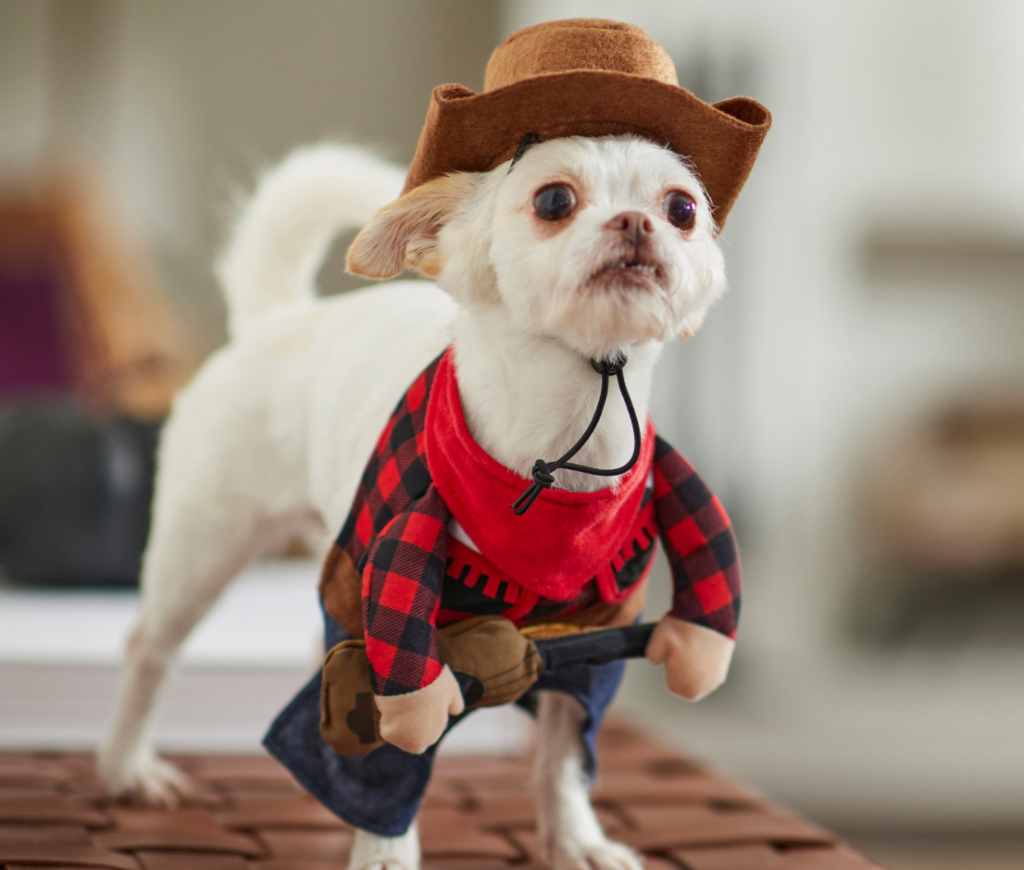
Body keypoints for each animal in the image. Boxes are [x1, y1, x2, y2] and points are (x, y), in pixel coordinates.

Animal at [97, 134, 729, 867]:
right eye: (553, 201)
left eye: (683, 209)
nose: (638, 222)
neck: (558, 452)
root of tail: (281, 318)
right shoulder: (392, 634)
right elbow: (389, 757)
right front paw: (384, 852)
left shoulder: (594, 641)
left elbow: (564, 755)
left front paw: (577, 840)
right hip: (202, 547)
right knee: (150, 649)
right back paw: (126, 768)